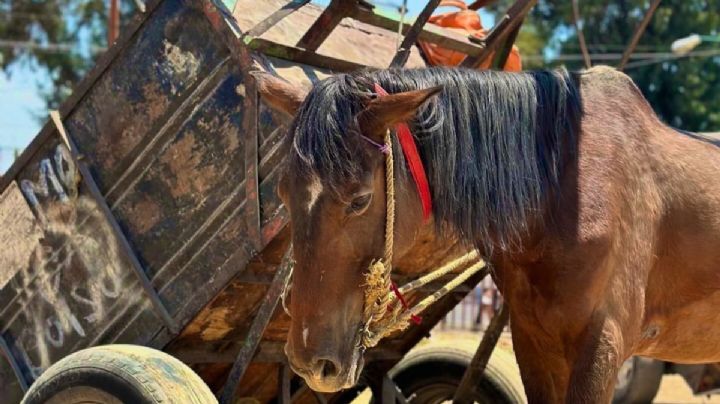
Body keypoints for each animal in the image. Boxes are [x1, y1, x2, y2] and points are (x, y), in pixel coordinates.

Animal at [254, 65, 720, 402]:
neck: (567, 188)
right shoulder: (535, 345)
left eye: (360, 199)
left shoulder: (602, 349)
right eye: (283, 193)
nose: (308, 361)